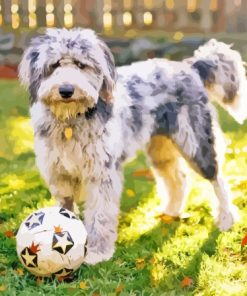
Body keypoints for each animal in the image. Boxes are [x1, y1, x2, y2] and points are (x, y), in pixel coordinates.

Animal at [18, 28, 246, 264]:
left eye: (81, 65)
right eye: (54, 65)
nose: (66, 90)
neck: (71, 121)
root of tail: (190, 66)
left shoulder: (102, 174)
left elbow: (100, 215)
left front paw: (97, 252)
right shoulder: (59, 174)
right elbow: (65, 209)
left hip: (197, 143)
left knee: (218, 179)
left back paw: (226, 218)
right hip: (160, 149)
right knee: (178, 179)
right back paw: (171, 211)